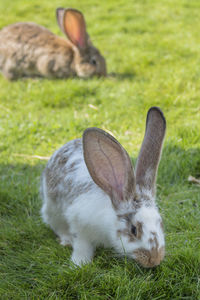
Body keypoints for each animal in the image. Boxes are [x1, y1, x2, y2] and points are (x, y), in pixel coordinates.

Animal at [40, 107, 166, 268]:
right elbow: (82, 246)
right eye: (133, 230)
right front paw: (79, 264)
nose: (154, 260)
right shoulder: (79, 225)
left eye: (160, 223)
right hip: (53, 209)